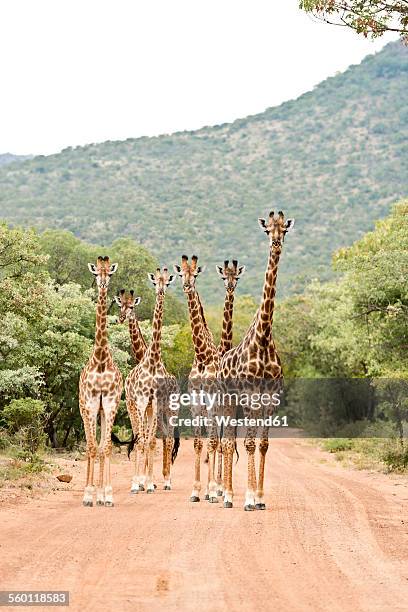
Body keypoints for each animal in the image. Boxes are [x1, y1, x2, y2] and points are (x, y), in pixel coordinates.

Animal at [115, 288, 178, 492]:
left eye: (132, 307)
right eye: (120, 305)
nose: (121, 318)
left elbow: (147, 439)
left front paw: (144, 481)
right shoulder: (144, 407)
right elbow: (143, 438)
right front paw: (144, 481)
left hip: (171, 409)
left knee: (168, 437)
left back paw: (166, 480)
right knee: (163, 436)